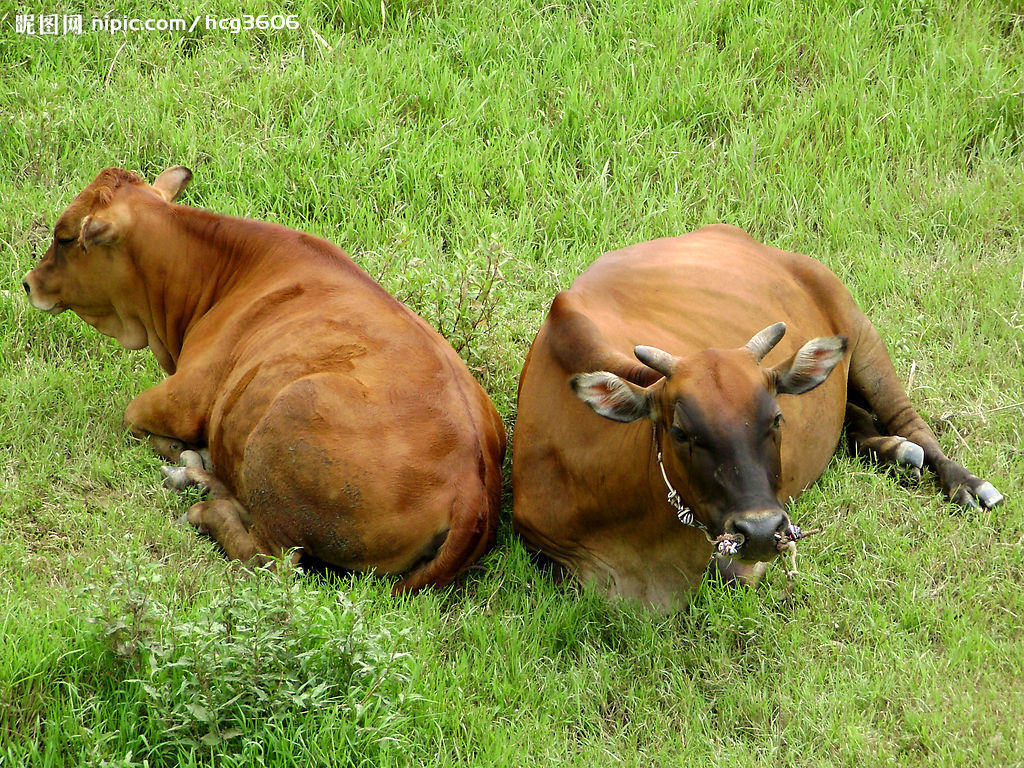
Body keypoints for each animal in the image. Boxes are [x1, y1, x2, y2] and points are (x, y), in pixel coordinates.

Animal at [23, 165, 503, 593]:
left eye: (63, 238)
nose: (29, 283)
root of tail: (471, 488)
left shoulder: (181, 399)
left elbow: (135, 417)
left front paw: (181, 454)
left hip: (289, 422)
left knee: (272, 559)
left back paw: (201, 502)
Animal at [512, 225, 999, 610]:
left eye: (776, 420)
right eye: (681, 432)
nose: (762, 530)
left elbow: (729, 573)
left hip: (860, 331)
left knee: (909, 420)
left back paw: (963, 482)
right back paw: (894, 450)